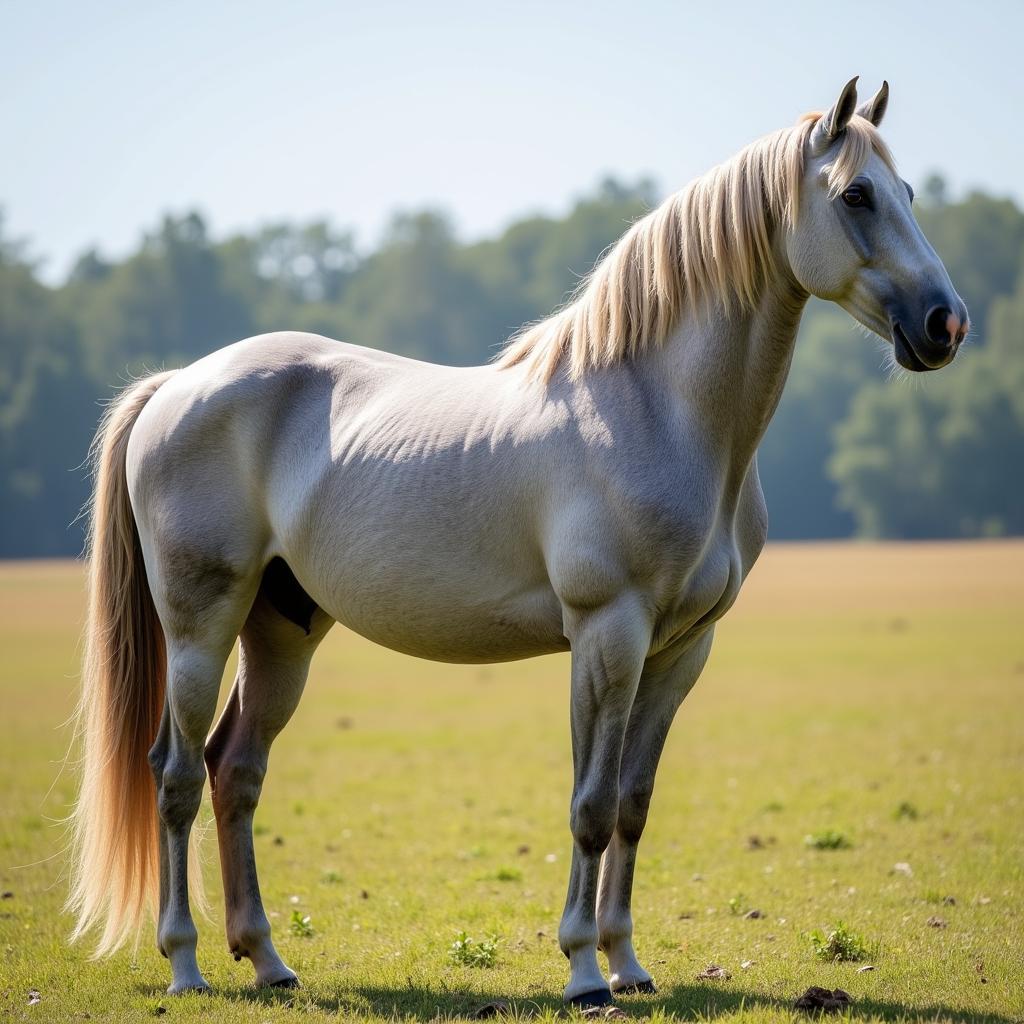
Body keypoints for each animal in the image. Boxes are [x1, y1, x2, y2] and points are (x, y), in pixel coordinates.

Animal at [68, 79, 962, 1007]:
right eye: (856, 195)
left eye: (907, 192)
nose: (945, 323)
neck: (656, 409)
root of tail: (181, 384)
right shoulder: (609, 633)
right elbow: (590, 806)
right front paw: (584, 973)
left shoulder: (680, 650)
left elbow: (633, 803)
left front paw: (628, 964)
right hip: (201, 625)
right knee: (174, 775)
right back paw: (185, 965)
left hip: (282, 628)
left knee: (235, 771)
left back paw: (270, 962)